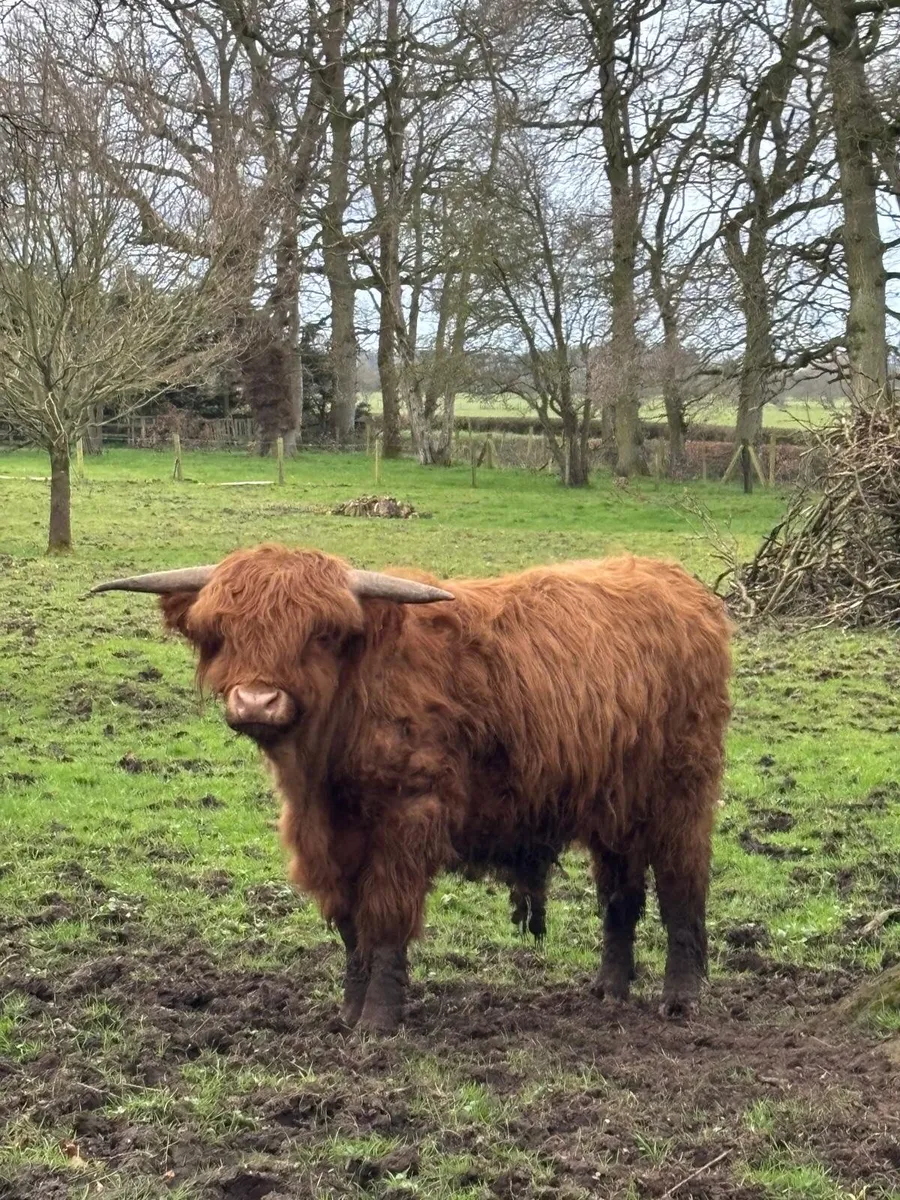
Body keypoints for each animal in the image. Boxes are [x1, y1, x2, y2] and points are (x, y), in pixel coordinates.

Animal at [92, 545, 731, 1034]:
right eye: (221, 632)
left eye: (320, 634)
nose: (256, 701)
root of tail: (674, 581)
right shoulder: (331, 838)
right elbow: (351, 925)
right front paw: (348, 1012)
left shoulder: (406, 819)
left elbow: (385, 915)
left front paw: (378, 1019)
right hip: (614, 806)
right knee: (620, 892)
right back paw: (608, 989)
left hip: (683, 790)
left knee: (682, 883)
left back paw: (681, 996)